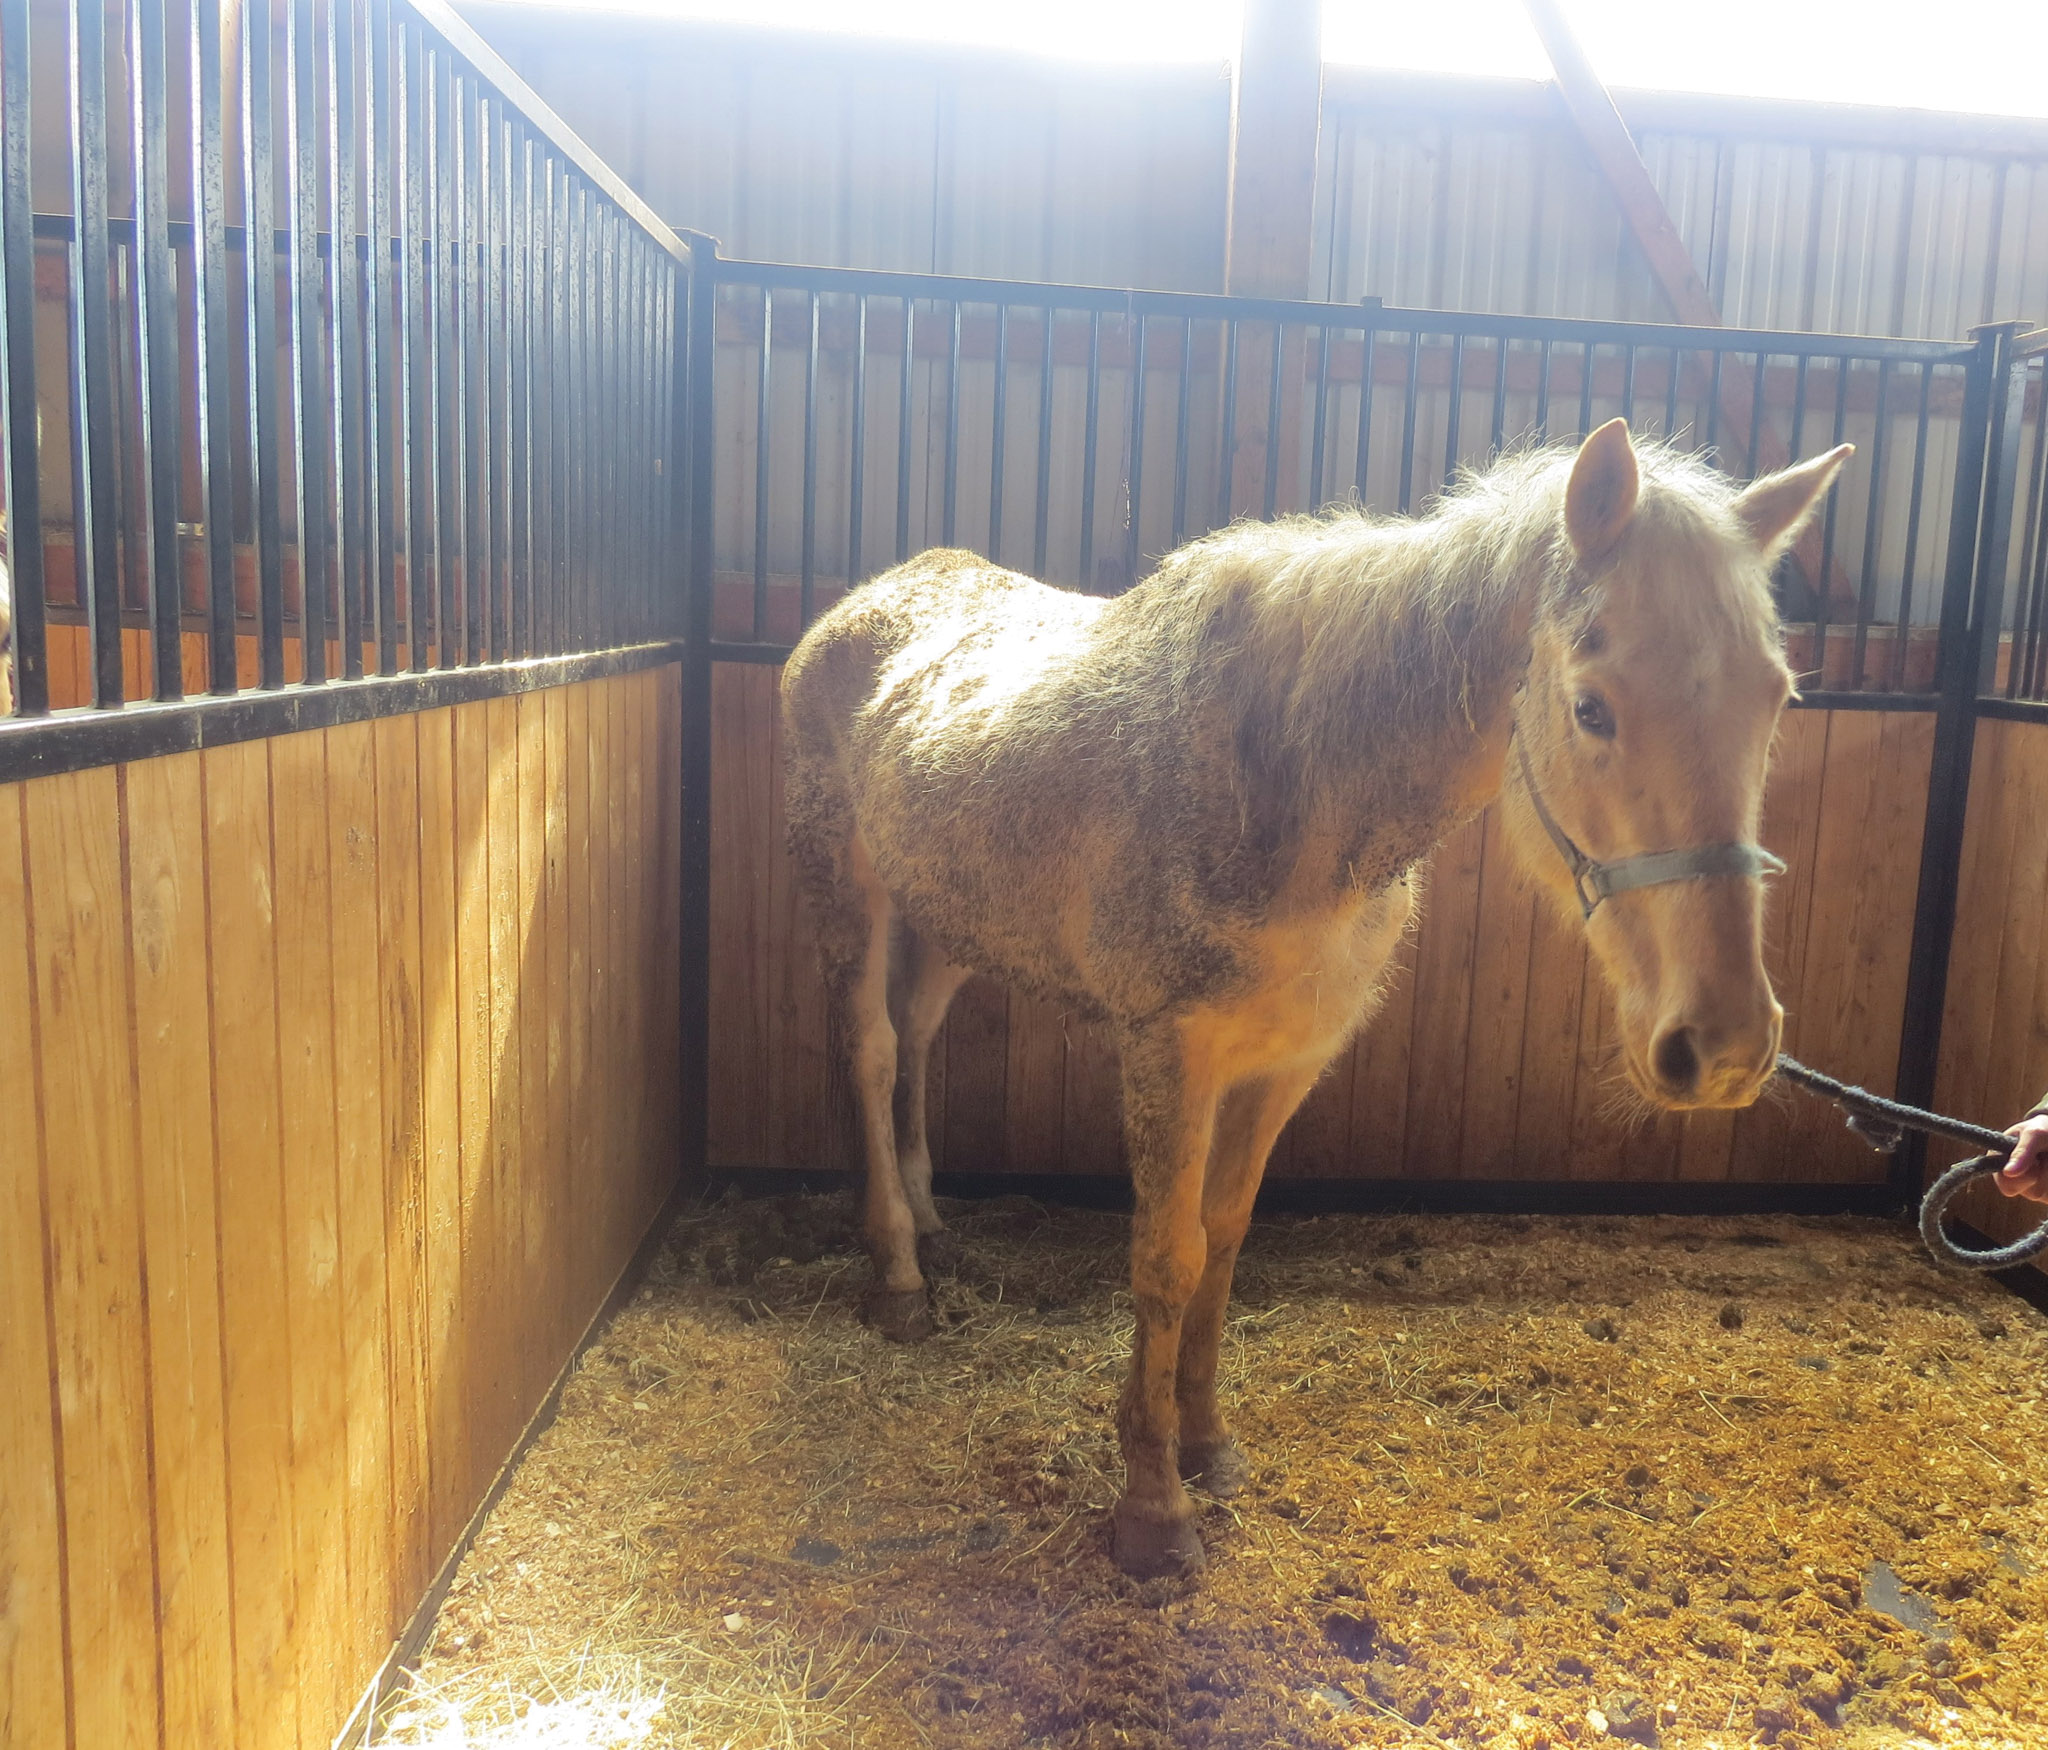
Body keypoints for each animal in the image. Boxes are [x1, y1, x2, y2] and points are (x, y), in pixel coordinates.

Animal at [780, 419, 1851, 1577]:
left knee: (917, 1042)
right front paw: (1152, 1514)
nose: (1726, 1044)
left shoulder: (1286, 1062)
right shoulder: (1167, 1054)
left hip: (945, 919)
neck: (1283, 783)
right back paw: (897, 1279)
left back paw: (931, 1226)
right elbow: (1167, 1256)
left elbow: (1223, 1242)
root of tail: (866, 604)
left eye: (1775, 698)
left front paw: (1208, 1447)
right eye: (1590, 707)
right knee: (873, 1051)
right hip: (853, 897)